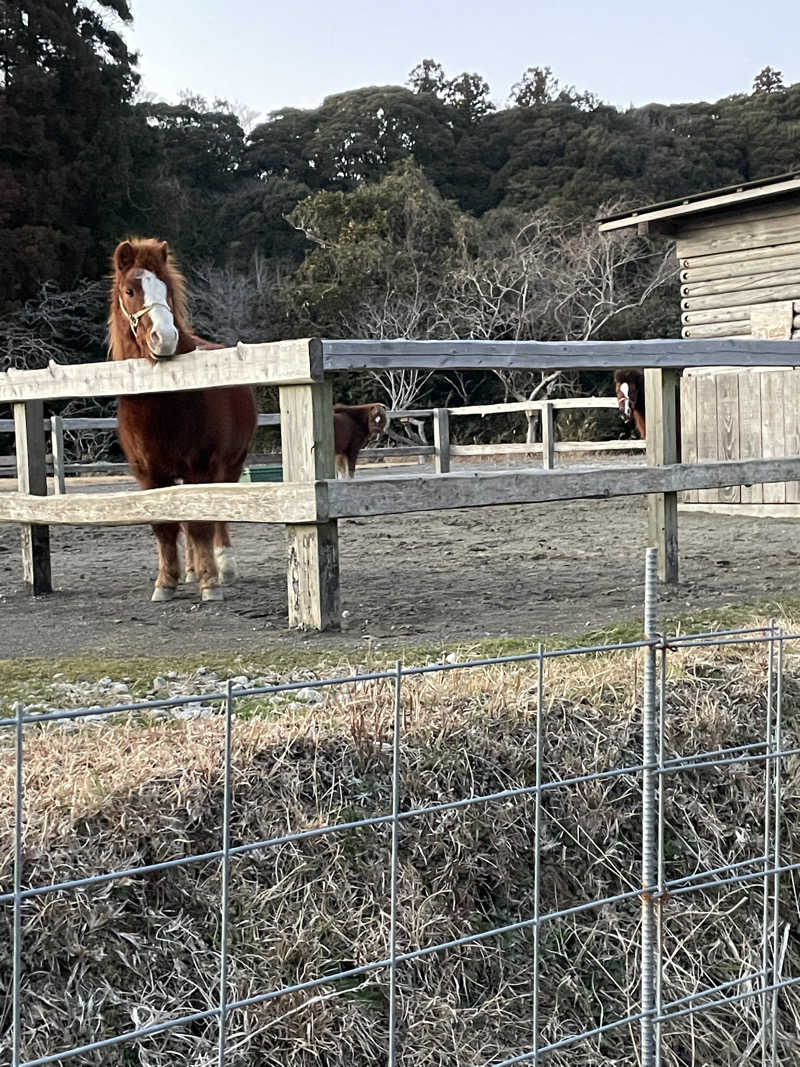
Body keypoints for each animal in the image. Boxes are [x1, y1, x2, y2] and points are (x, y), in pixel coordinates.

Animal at [109, 242, 257, 606]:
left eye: (167, 290)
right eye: (130, 290)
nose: (164, 338)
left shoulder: (202, 466)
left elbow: (202, 523)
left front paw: (210, 583)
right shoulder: (148, 474)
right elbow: (164, 526)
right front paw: (166, 583)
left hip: (231, 464)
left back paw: (223, 566)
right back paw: (191, 569)